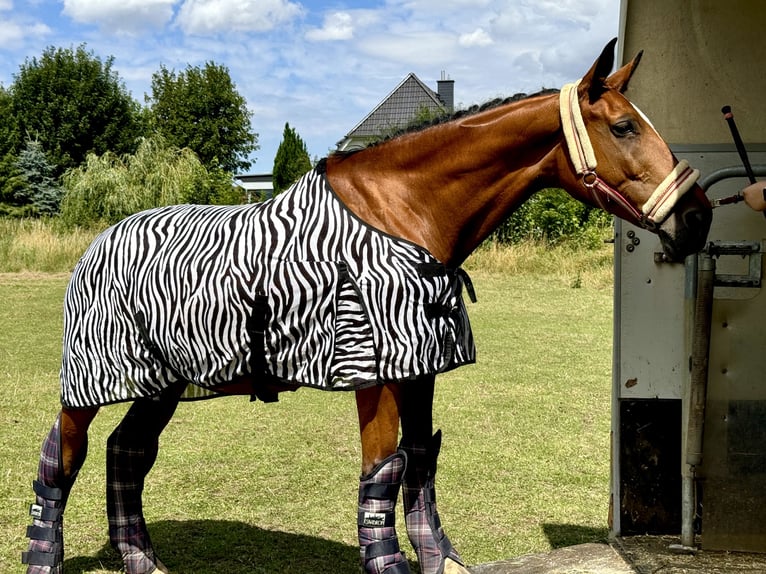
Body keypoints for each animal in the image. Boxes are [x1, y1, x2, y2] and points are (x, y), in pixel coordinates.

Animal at [22, 37, 712, 574]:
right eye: (623, 127)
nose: (699, 217)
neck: (403, 216)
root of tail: (99, 239)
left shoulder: (419, 371)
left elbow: (420, 464)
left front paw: (437, 558)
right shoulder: (372, 374)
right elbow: (381, 469)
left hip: (162, 382)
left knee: (126, 453)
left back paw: (141, 559)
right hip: (90, 384)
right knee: (61, 459)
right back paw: (45, 556)